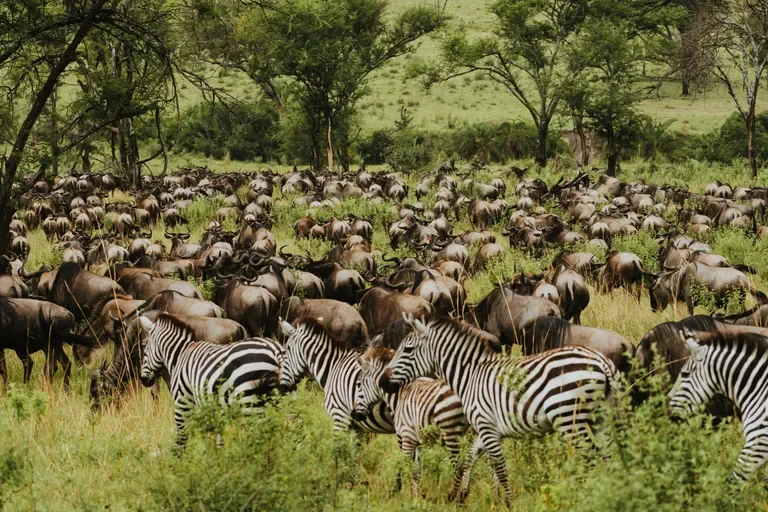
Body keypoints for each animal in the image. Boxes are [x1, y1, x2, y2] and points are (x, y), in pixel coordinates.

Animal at [138, 313, 283, 446]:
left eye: (144, 347)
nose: (143, 380)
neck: (180, 354)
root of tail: (275, 351)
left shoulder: (182, 402)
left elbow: (182, 439)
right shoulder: (212, 409)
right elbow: (216, 439)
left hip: (249, 402)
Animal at [353, 345, 471, 500]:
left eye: (358, 384)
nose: (354, 414)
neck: (400, 395)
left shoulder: (407, 436)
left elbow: (407, 466)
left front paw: (405, 496)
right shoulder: (416, 441)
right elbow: (416, 471)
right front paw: (417, 496)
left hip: (451, 432)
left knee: (459, 466)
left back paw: (451, 498)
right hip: (469, 433)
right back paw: (465, 496)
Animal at [380, 313, 620, 502]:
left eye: (407, 349)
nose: (382, 382)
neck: (470, 375)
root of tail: (601, 360)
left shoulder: (487, 426)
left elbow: (500, 469)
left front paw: (509, 503)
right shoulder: (486, 428)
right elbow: (471, 457)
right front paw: (458, 495)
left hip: (569, 418)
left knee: (589, 455)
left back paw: (577, 493)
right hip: (600, 417)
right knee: (608, 454)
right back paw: (609, 490)